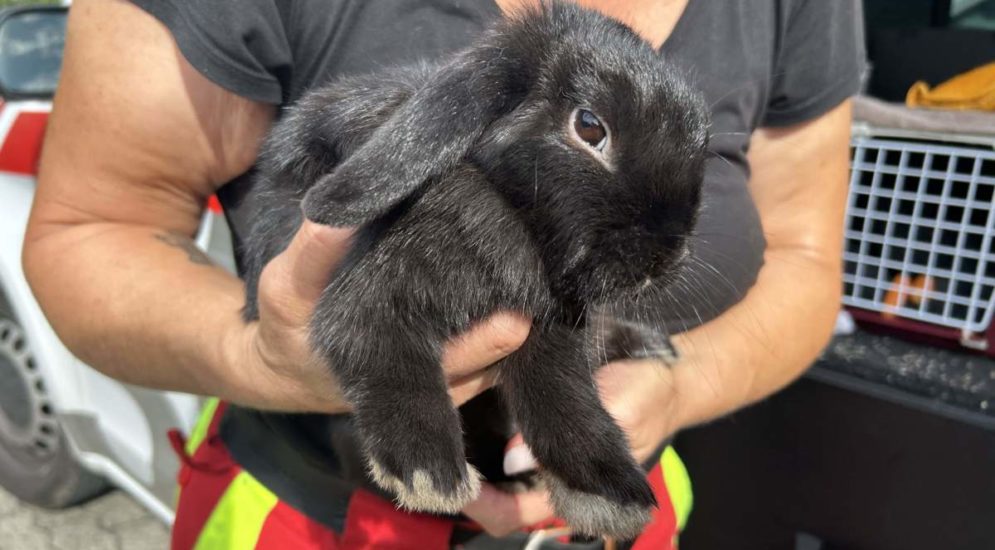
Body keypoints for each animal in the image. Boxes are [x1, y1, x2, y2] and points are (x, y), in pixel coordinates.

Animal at [241, 2, 708, 540]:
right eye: (590, 127)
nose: (665, 258)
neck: (511, 212)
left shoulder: (548, 332)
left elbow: (566, 398)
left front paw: (608, 493)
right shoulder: (374, 294)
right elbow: (382, 350)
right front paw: (429, 474)